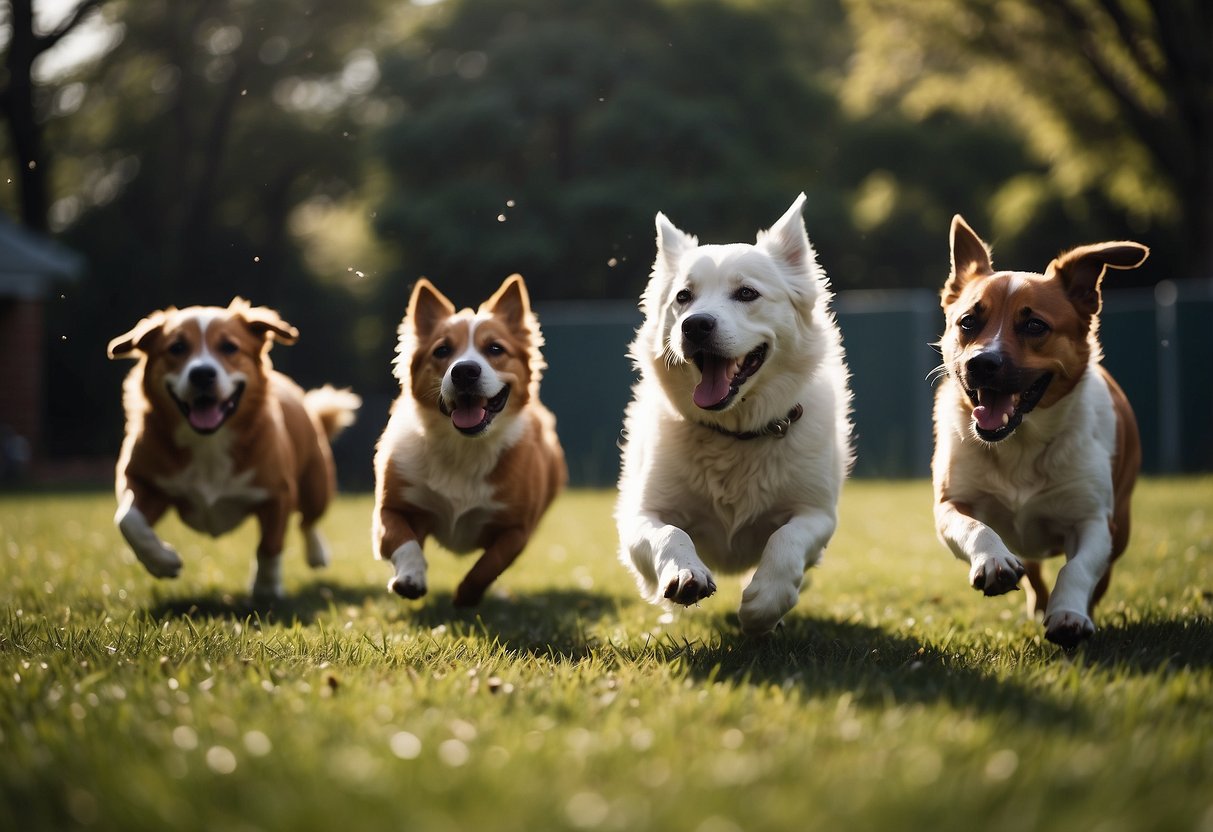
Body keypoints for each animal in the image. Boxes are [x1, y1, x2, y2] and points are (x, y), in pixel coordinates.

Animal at [109, 299, 359, 599]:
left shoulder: (278, 494)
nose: (202, 373)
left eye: (229, 347)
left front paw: (266, 588)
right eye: (177, 348)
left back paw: (316, 553)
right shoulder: (142, 480)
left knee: (308, 521)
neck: (208, 442)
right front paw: (161, 561)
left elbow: (270, 545)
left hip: (316, 487)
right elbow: (127, 519)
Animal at [371, 276, 565, 608]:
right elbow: (403, 541)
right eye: (442, 350)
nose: (464, 371)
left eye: (495, 348)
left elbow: (488, 565)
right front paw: (411, 577)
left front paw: (464, 597)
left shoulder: (517, 529)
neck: (465, 448)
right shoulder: (391, 508)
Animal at [616, 195, 853, 635]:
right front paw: (685, 573)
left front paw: (766, 604)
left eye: (746, 293)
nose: (695, 326)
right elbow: (670, 534)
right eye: (683, 297)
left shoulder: (816, 514)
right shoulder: (640, 517)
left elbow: (786, 540)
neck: (734, 433)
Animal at [936, 218, 1145, 650]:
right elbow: (973, 527)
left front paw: (1069, 614)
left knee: (1099, 574)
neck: (1019, 442)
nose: (982, 363)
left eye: (1035, 325)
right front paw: (993, 560)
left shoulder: (1093, 521)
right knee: (1031, 568)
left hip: (1121, 527)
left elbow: (1078, 568)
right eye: (968, 322)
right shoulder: (950, 503)